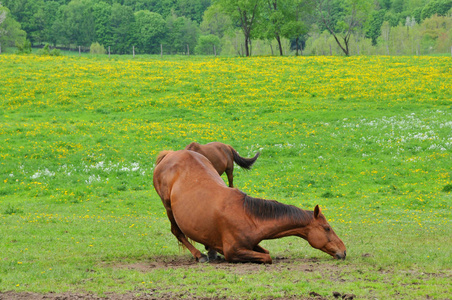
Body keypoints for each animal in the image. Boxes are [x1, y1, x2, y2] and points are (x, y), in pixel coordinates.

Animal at [154, 149, 348, 262]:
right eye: (327, 228)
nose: (344, 251)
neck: (248, 216)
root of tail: (170, 154)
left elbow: (266, 251)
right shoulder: (234, 251)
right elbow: (268, 257)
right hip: (168, 207)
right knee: (177, 232)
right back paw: (199, 255)